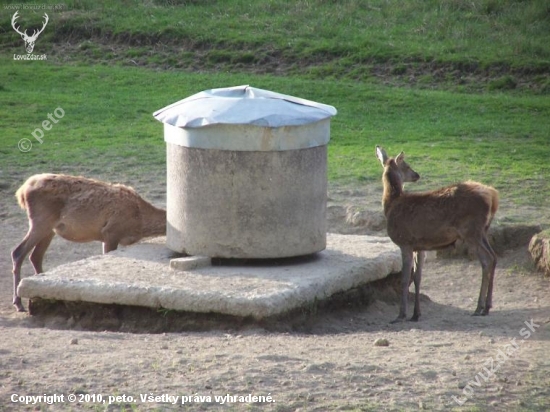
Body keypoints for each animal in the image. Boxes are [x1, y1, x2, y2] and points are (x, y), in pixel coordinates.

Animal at [10, 172, 166, 310]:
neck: (140, 221)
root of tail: (21, 191)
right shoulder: (111, 232)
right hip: (41, 220)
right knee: (18, 252)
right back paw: (18, 303)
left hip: (50, 229)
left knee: (35, 256)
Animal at [376, 146, 500, 324]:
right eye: (407, 166)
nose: (417, 174)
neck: (390, 205)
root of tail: (493, 196)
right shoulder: (419, 246)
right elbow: (418, 277)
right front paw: (416, 314)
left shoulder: (405, 242)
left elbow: (405, 279)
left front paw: (401, 315)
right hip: (482, 230)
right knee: (494, 256)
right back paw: (487, 306)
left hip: (471, 231)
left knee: (486, 260)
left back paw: (479, 308)